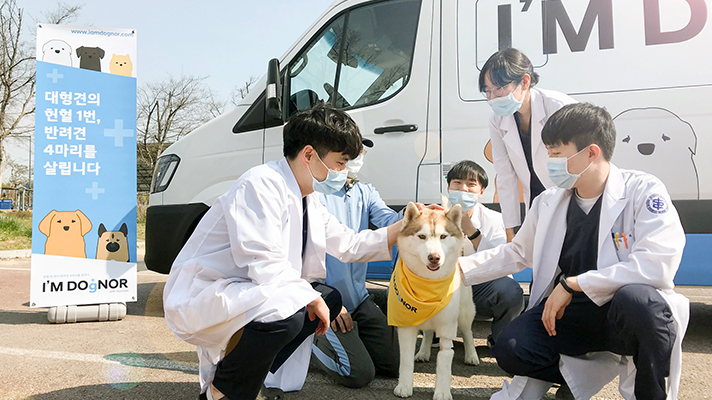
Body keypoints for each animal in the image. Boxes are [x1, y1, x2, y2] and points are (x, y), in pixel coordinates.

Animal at [390, 203, 478, 400]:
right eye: (421, 236)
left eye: (443, 236)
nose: (434, 257)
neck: (428, 286)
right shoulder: (406, 327)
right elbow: (405, 360)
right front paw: (404, 385)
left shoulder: (447, 328)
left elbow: (445, 360)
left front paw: (443, 391)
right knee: (429, 332)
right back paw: (423, 351)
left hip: (464, 313)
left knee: (468, 332)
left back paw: (471, 355)